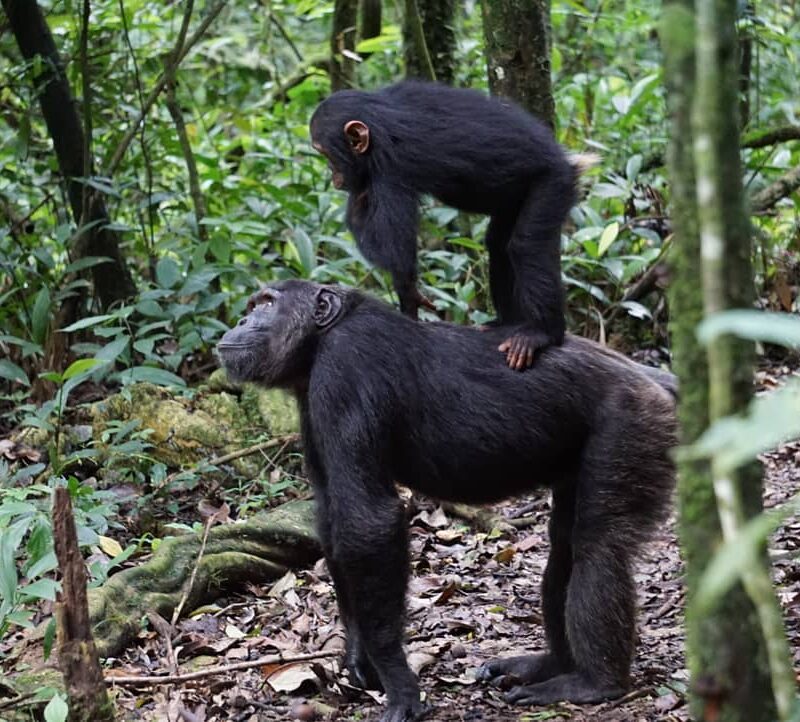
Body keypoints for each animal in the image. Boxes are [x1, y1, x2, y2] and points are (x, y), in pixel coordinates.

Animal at [217, 280, 676, 720]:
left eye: (267, 303)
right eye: (254, 304)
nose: (240, 319)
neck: (320, 340)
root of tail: (652, 376)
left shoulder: (345, 369)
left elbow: (368, 521)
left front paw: (398, 681)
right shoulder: (311, 406)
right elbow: (333, 519)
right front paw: (359, 657)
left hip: (634, 423)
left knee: (598, 547)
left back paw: (594, 682)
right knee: (565, 545)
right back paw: (550, 665)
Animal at [310, 81, 584, 368]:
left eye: (325, 153)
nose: (335, 177)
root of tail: (568, 161)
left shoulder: (391, 170)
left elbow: (395, 252)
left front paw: (409, 298)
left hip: (553, 184)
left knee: (526, 246)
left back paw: (542, 333)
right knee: (499, 244)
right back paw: (506, 322)